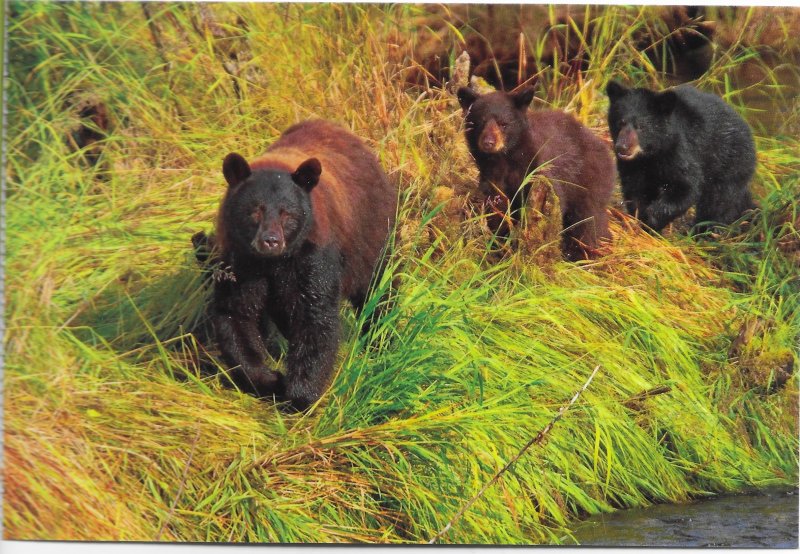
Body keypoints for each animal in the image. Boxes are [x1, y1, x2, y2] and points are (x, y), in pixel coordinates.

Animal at [206, 119, 394, 410]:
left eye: (287, 214)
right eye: (255, 210)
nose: (270, 241)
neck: (272, 263)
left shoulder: (312, 255)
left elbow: (315, 316)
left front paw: (300, 395)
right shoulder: (241, 260)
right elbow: (235, 312)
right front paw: (268, 378)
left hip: (371, 235)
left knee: (377, 286)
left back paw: (380, 336)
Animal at [454, 85, 616, 260]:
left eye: (504, 123)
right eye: (480, 122)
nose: (488, 142)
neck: (505, 160)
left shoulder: (538, 168)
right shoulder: (491, 178)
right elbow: (497, 207)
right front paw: (500, 242)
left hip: (590, 181)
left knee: (588, 220)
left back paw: (583, 254)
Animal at [608, 80, 756, 231]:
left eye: (641, 126)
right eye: (620, 122)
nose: (622, 147)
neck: (651, 154)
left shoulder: (680, 152)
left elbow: (687, 186)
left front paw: (654, 216)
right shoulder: (633, 166)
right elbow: (635, 189)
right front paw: (641, 218)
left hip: (729, 164)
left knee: (718, 202)